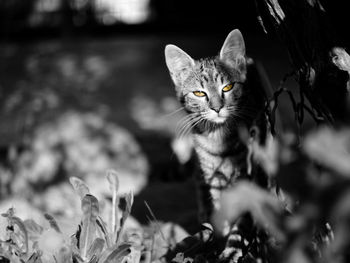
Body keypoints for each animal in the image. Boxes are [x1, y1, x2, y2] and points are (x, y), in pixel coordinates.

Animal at [165, 29, 270, 262]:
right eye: (199, 93)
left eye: (228, 87)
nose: (217, 108)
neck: (219, 139)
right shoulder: (214, 180)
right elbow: (222, 214)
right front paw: (219, 241)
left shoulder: (247, 178)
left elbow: (242, 221)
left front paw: (232, 249)